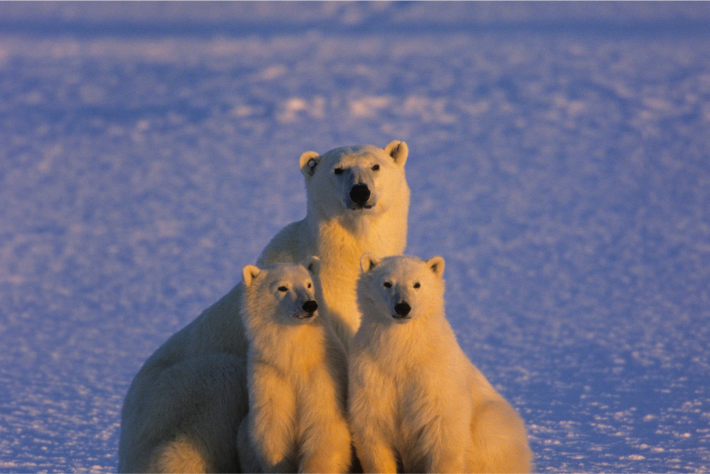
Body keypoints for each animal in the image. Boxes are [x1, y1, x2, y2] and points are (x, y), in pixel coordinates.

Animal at [236, 256, 352, 474]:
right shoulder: (269, 375)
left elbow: (324, 425)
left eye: (309, 284)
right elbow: (272, 428)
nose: (310, 304)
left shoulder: (323, 374)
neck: (294, 359)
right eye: (282, 287)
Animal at [349, 254, 533, 474]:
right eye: (387, 283)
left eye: (417, 284)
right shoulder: (371, 375)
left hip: (494, 420)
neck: (402, 354)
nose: (403, 307)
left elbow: (444, 434)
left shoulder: (436, 377)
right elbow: (373, 433)